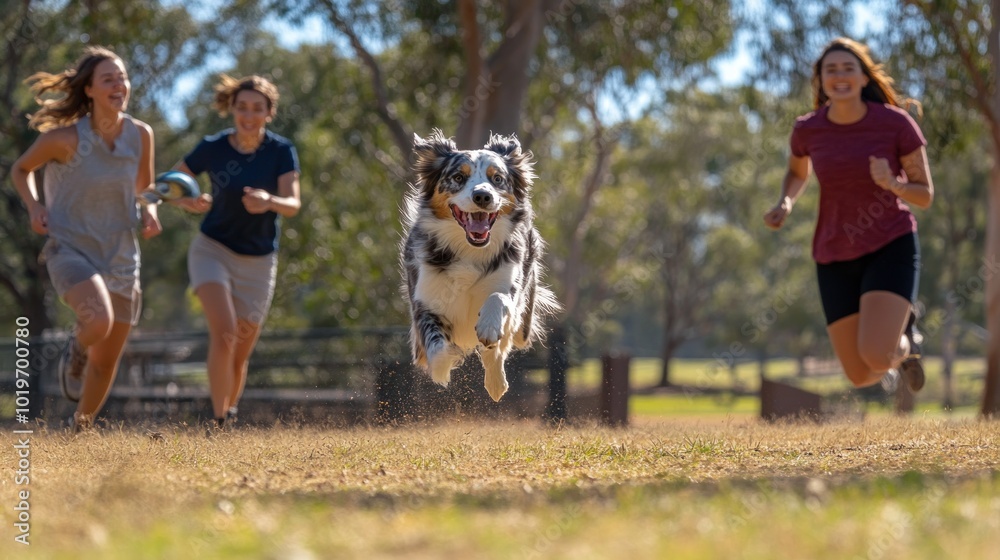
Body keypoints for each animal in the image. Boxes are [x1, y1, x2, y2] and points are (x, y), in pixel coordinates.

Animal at [400, 130, 560, 402]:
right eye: (458, 177)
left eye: (497, 179)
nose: (483, 196)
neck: (470, 250)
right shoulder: (425, 304)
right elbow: (438, 352)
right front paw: (447, 364)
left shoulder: (510, 285)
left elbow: (498, 301)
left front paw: (488, 328)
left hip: (524, 322)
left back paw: (496, 383)